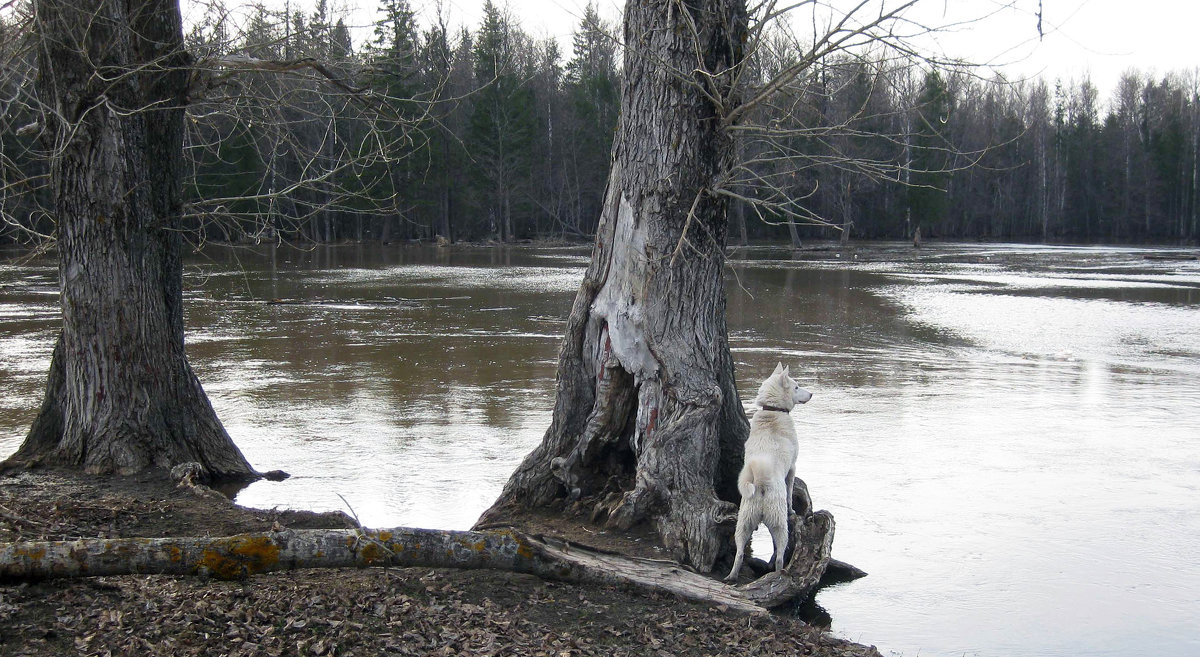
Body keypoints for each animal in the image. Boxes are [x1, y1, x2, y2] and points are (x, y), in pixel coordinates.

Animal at [724, 362, 811, 582]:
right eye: (796, 387)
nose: (811, 394)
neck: (773, 411)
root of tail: (761, 484)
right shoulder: (792, 468)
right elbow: (790, 492)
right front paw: (792, 509)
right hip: (779, 525)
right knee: (779, 554)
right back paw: (779, 572)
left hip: (743, 523)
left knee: (739, 553)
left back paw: (732, 577)